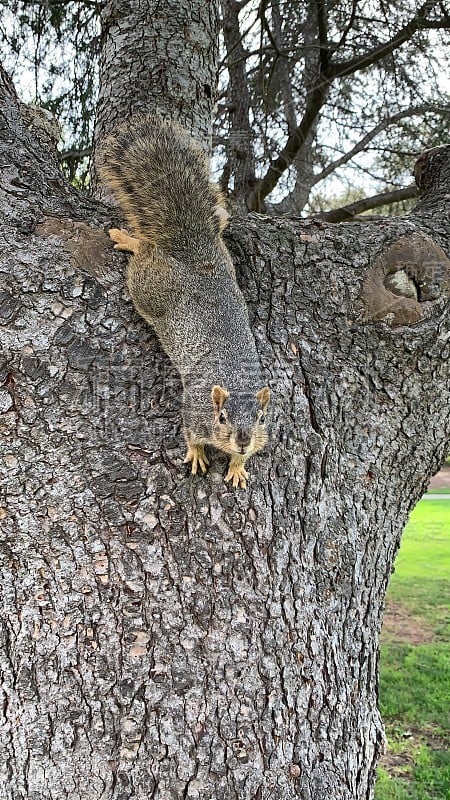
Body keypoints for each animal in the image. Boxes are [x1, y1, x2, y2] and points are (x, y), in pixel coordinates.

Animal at [97, 114, 270, 488]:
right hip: (149, 286)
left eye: (262, 418)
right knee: (144, 252)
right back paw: (130, 240)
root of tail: (194, 255)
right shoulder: (193, 410)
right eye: (221, 417)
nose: (243, 439)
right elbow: (190, 435)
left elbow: (243, 457)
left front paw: (238, 465)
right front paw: (197, 454)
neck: (236, 380)